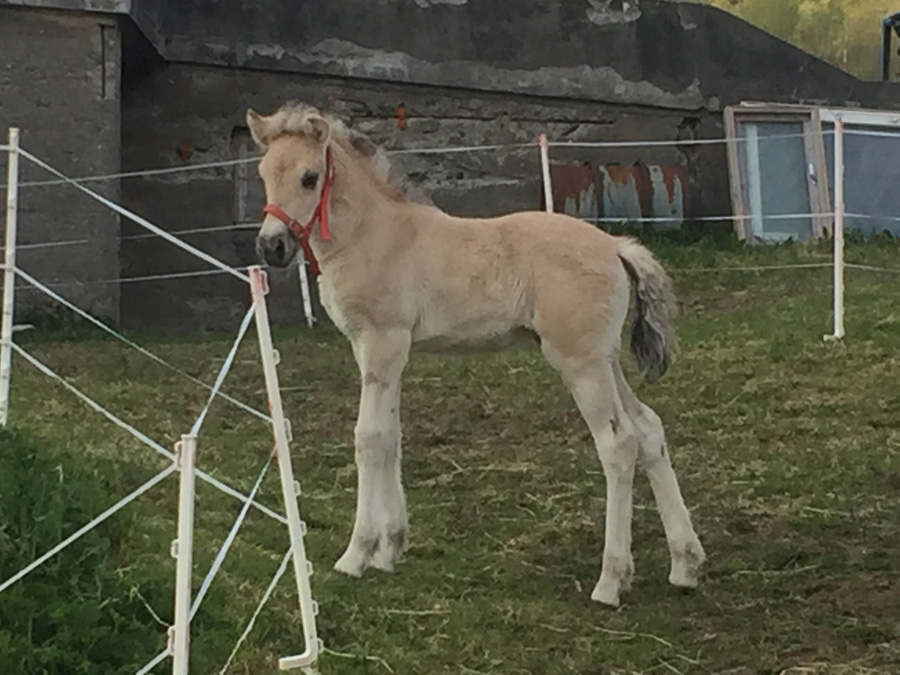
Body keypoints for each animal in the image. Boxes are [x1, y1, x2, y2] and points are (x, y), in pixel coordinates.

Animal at [246, 101, 705, 607]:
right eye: (263, 173)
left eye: (309, 177)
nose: (272, 246)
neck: (375, 234)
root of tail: (616, 246)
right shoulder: (386, 349)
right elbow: (392, 436)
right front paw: (390, 549)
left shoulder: (381, 341)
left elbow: (368, 438)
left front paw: (356, 555)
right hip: (604, 361)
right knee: (648, 430)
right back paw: (685, 564)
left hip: (580, 363)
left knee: (618, 444)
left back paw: (610, 581)